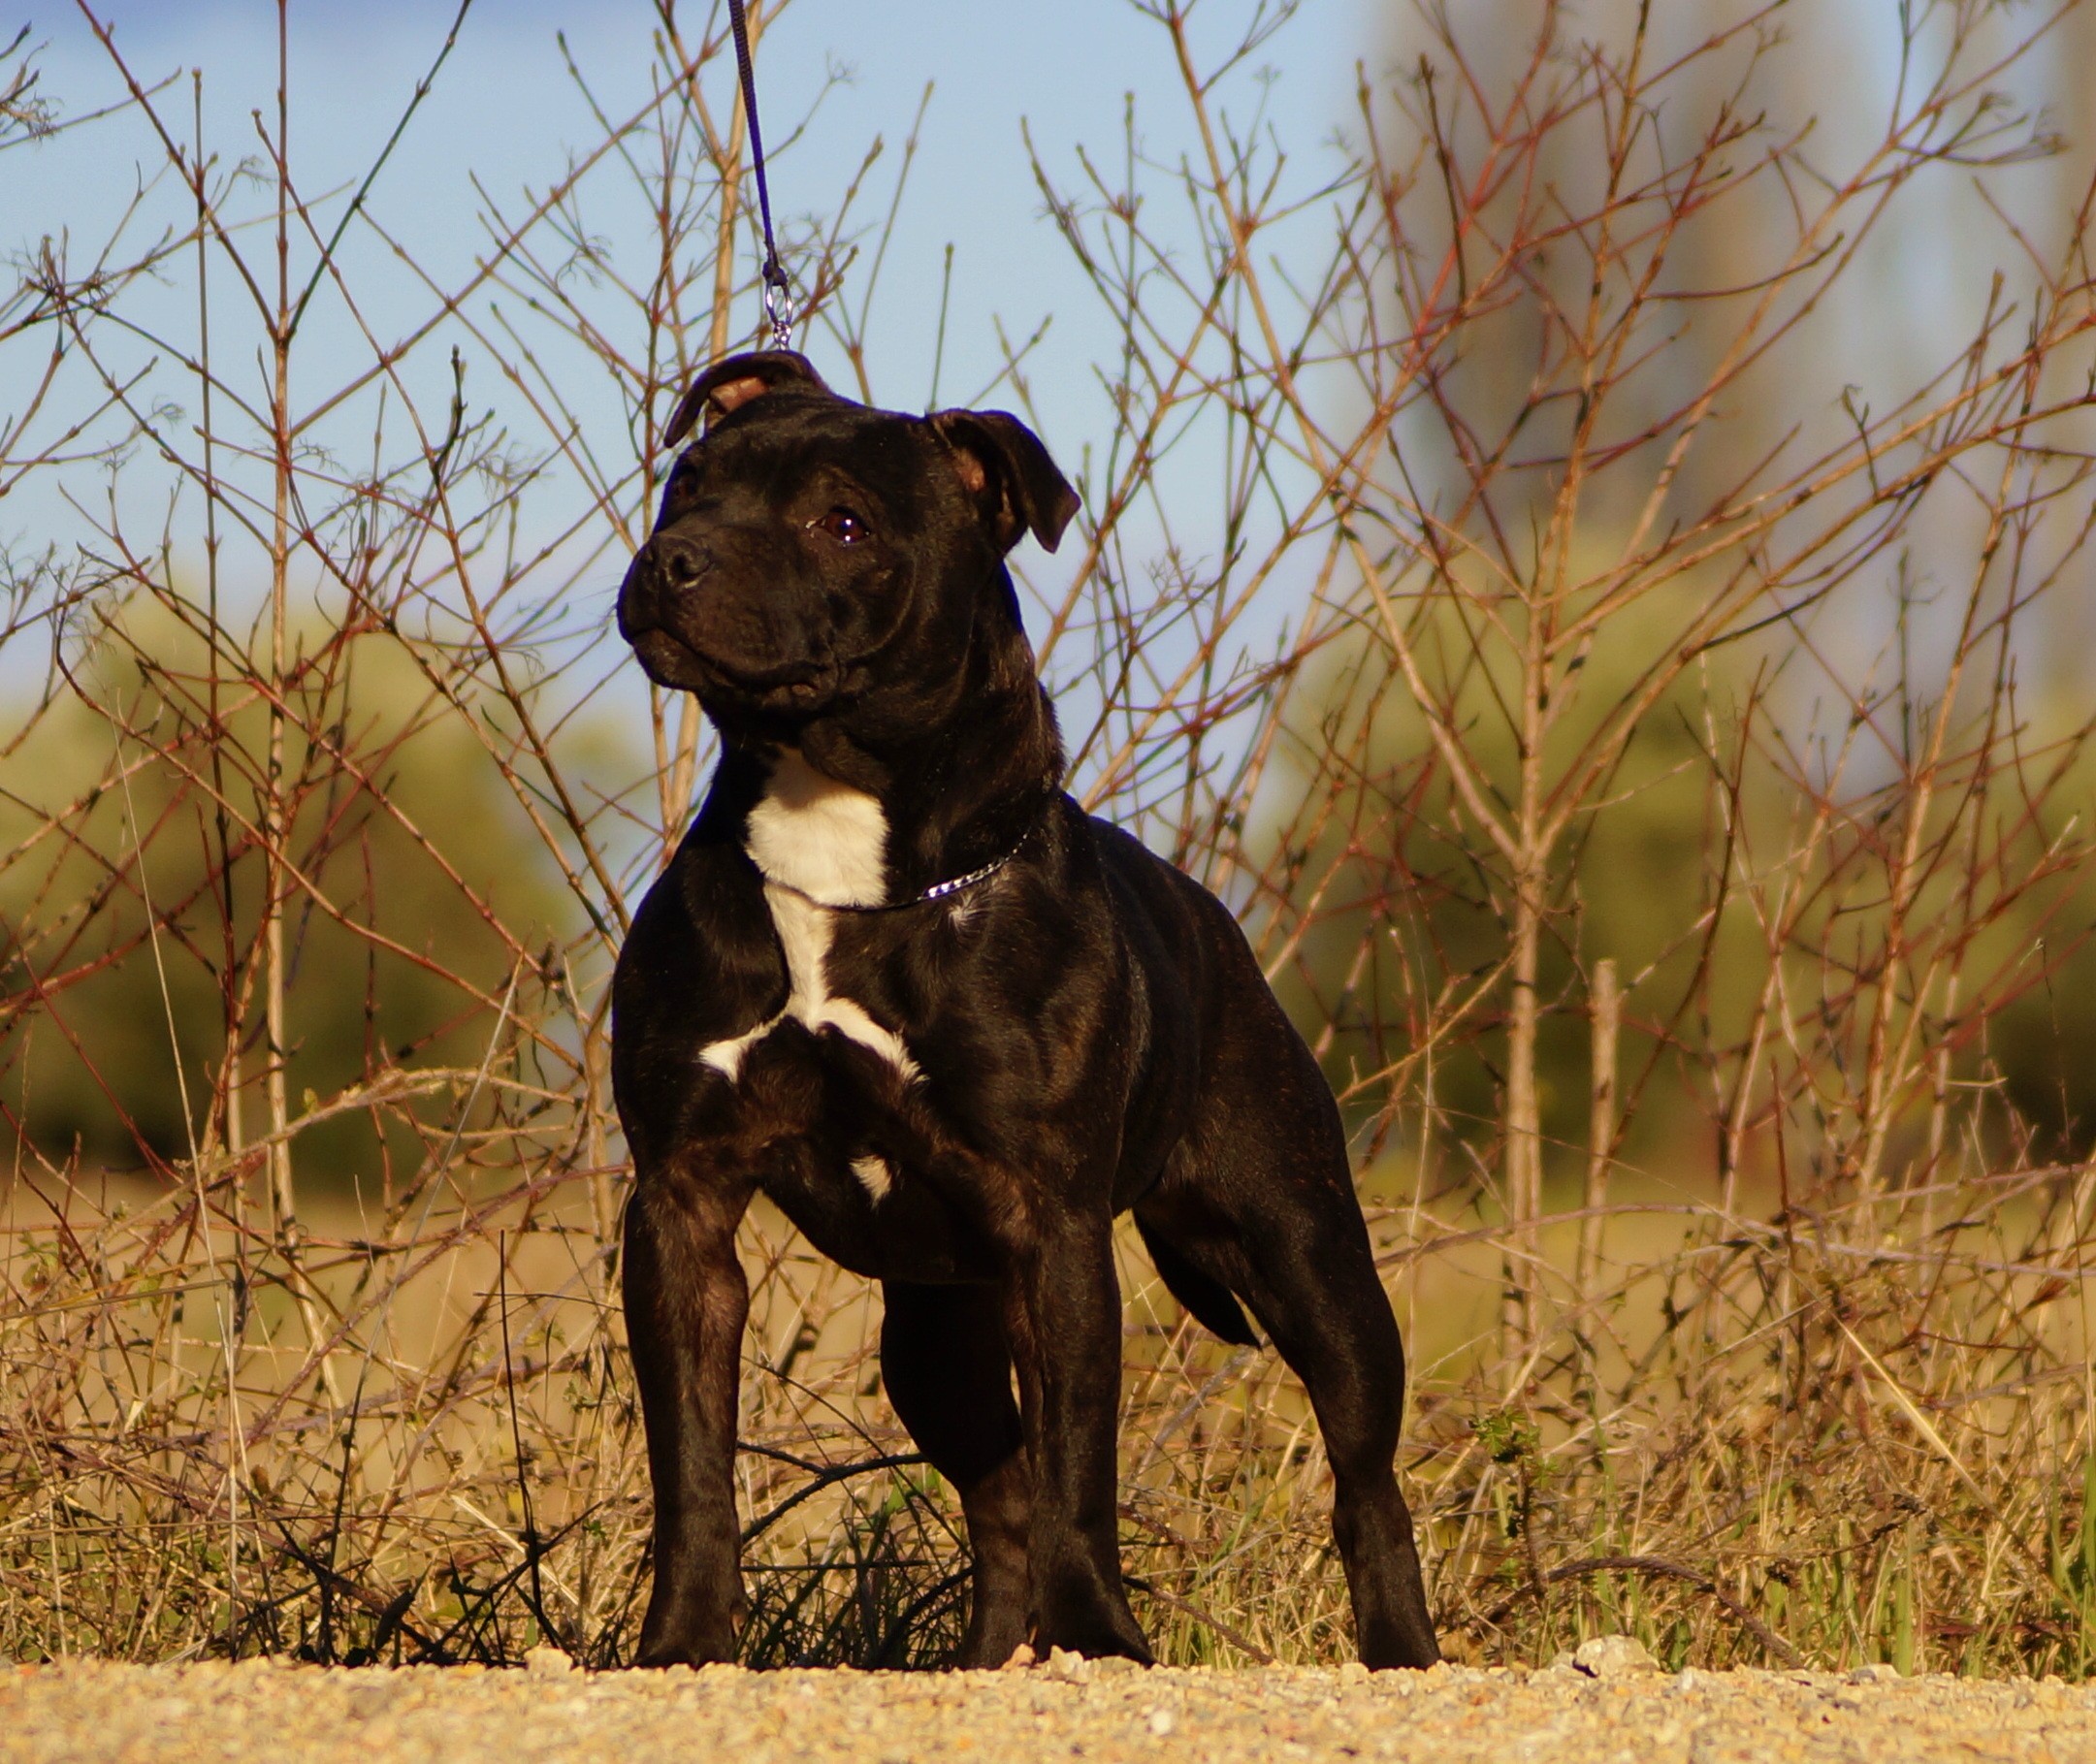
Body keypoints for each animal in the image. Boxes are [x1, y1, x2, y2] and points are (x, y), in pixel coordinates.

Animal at [611, 349, 1439, 1670]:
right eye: (687, 483)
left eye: (842, 523)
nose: (676, 559)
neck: (834, 837)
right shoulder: (682, 1205)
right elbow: (692, 1467)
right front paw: (682, 1645)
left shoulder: (1052, 1229)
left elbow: (1079, 1469)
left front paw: (1101, 1639)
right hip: (932, 1335)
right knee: (996, 1487)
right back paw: (991, 1657)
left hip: (1308, 1259)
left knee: (1364, 1475)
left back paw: (1400, 1648)